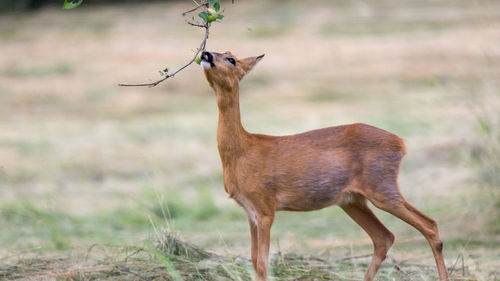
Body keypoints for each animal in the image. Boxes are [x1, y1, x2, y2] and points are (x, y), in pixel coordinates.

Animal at [201, 50, 452, 280]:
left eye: (232, 59)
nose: (206, 53)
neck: (242, 151)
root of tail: (401, 144)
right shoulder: (250, 211)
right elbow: (254, 261)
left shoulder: (264, 206)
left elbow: (262, 263)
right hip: (352, 200)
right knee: (384, 237)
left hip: (381, 186)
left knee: (429, 225)